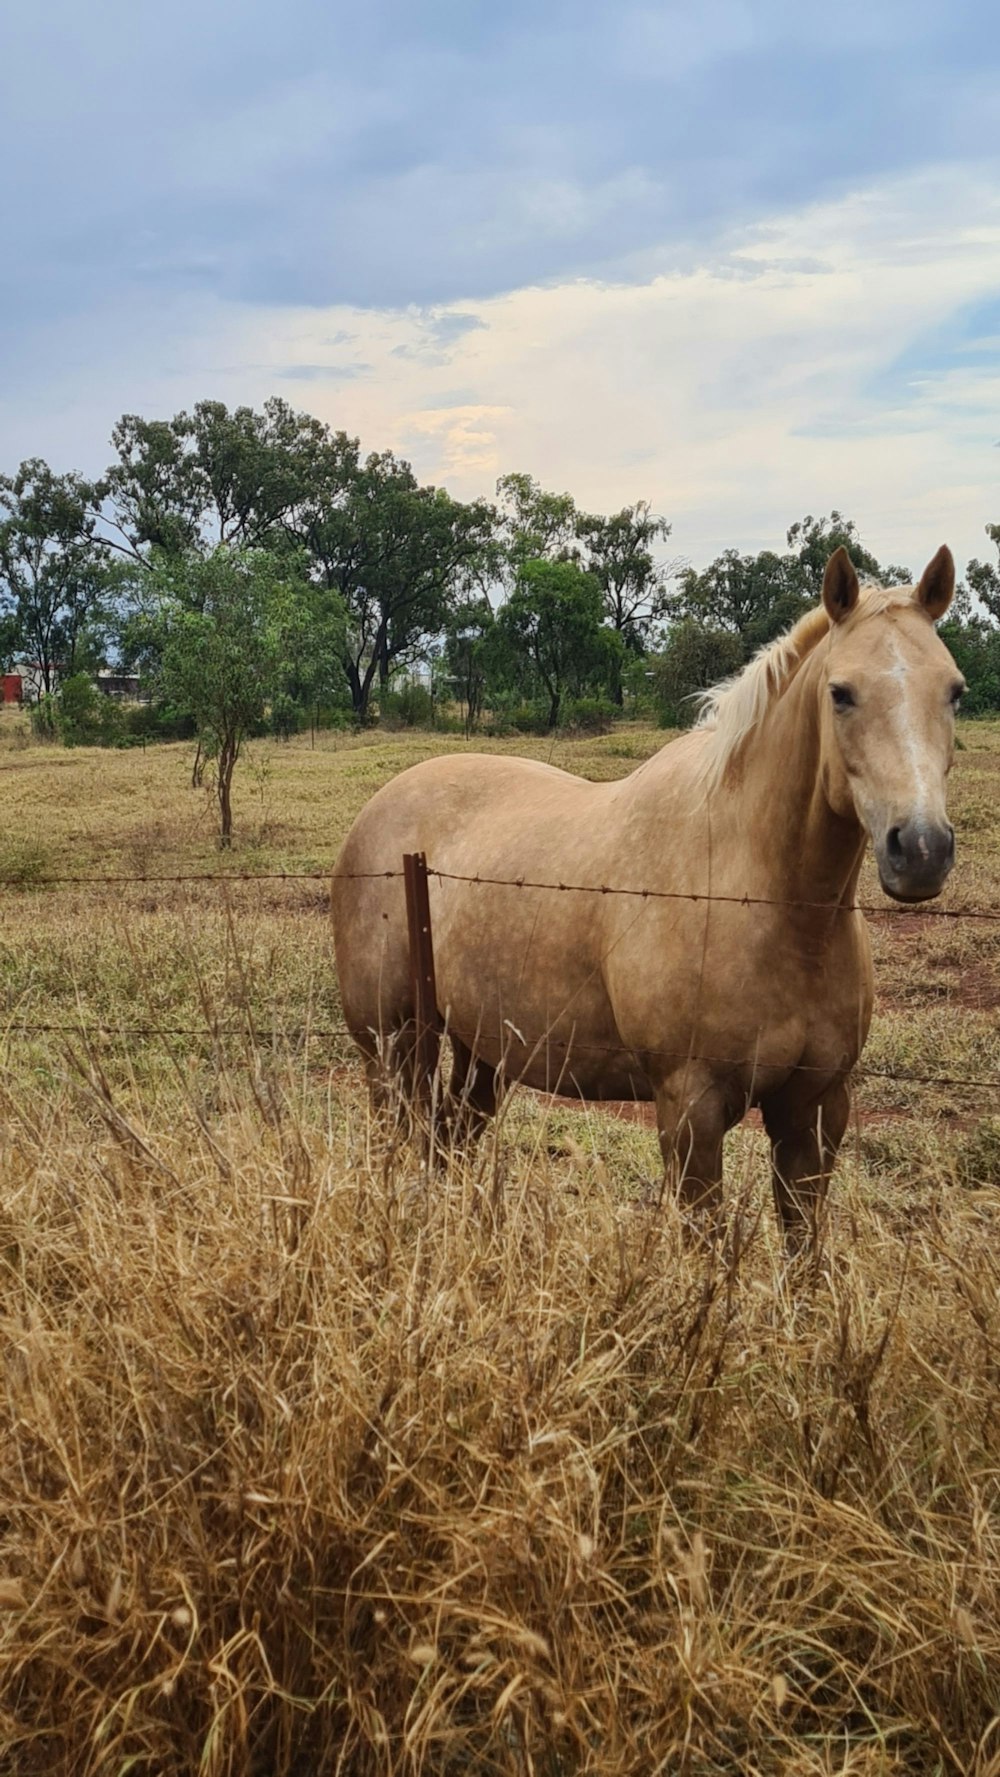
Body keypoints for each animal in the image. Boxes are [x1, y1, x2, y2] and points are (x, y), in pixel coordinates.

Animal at [333, 547, 959, 1243]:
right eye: (841, 693)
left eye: (954, 691)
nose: (922, 849)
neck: (769, 903)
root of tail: (378, 811)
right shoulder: (691, 1107)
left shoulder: (816, 1110)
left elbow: (804, 1250)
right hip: (393, 1045)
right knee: (397, 1142)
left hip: (480, 1051)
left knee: (448, 1144)